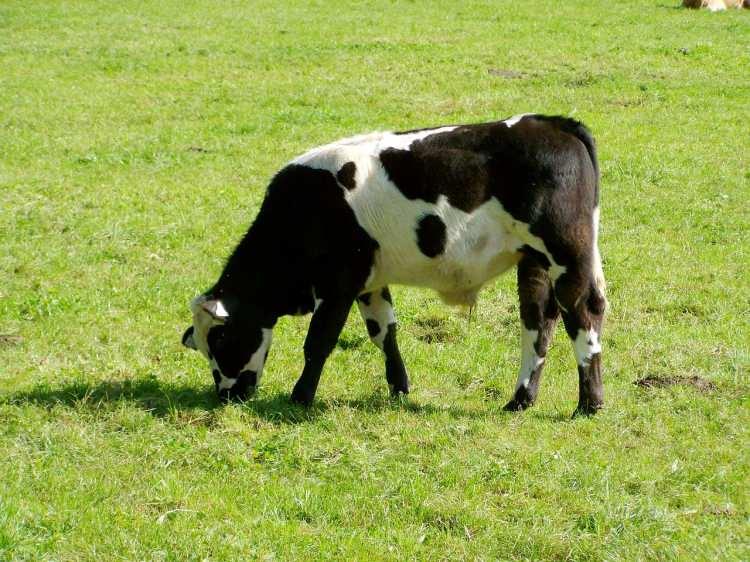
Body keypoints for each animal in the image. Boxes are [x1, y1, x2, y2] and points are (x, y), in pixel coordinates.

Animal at [182, 115, 612, 416]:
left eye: (221, 341)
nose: (226, 396)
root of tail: (553, 122)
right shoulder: (369, 282)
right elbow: (383, 332)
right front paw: (399, 388)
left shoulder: (338, 284)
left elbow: (318, 342)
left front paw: (300, 397)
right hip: (535, 263)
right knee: (538, 324)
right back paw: (520, 400)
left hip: (567, 257)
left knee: (583, 316)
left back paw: (589, 404)